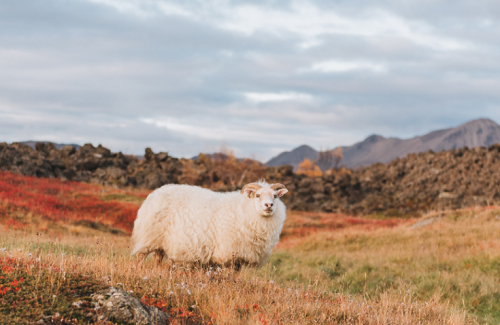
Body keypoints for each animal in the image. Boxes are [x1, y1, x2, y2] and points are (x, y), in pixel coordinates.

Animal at [131, 180, 290, 268]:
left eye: (275, 196)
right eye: (257, 195)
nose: (269, 205)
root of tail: (155, 193)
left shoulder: (240, 256)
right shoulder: (230, 253)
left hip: (161, 241)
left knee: (157, 259)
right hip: (149, 236)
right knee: (140, 258)